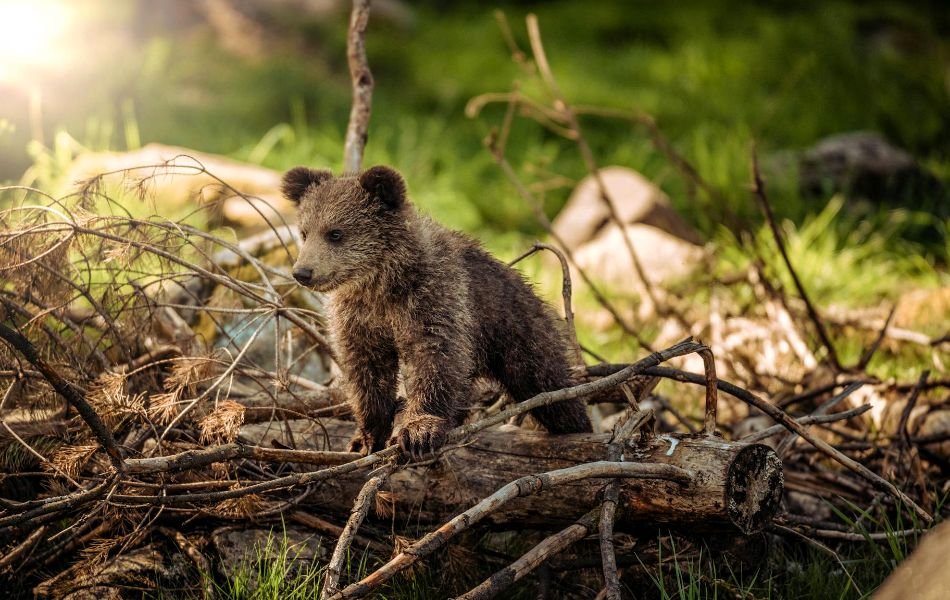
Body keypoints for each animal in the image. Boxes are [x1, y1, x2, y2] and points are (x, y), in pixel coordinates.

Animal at [283, 165, 592, 456]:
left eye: (335, 233)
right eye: (304, 232)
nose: (303, 272)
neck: (381, 284)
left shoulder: (432, 299)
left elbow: (435, 359)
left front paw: (419, 431)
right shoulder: (359, 318)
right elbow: (367, 371)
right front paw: (366, 437)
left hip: (518, 330)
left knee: (548, 384)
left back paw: (576, 426)